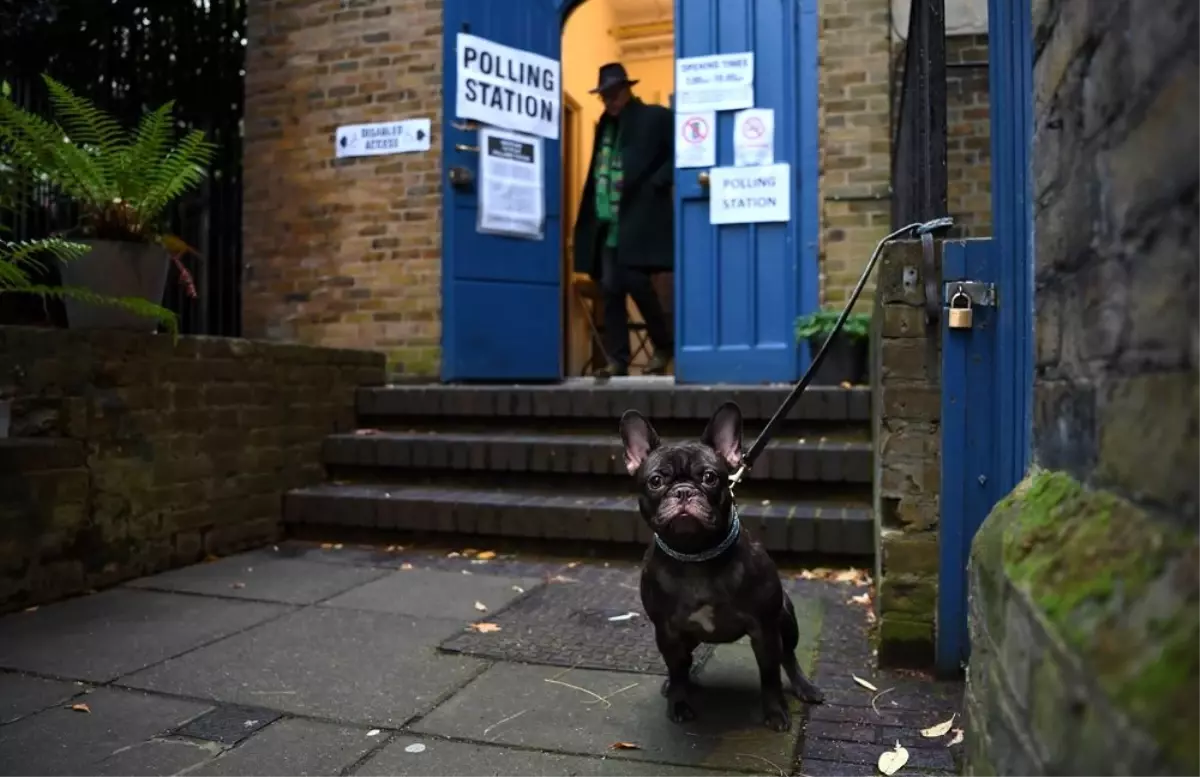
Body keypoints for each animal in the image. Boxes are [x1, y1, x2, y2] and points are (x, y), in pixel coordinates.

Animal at [619, 402, 825, 733]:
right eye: (656, 481)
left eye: (709, 477)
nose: (684, 491)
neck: (695, 554)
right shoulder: (667, 631)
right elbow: (676, 669)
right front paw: (678, 702)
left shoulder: (765, 630)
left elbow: (770, 675)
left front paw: (775, 711)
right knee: (684, 664)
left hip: (785, 617)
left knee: (789, 656)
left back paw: (804, 687)